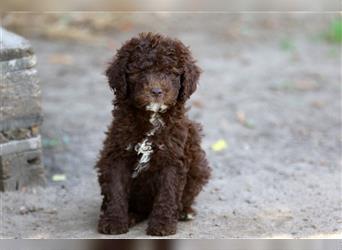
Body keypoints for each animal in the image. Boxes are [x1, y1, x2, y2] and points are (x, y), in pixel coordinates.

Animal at [95, 33, 210, 236]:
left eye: (171, 72)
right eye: (140, 71)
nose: (156, 91)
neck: (151, 117)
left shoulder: (173, 157)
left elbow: (168, 191)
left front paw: (162, 225)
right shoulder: (117, 153)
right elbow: (116, 189)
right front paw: (114, 221)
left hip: (198, 164)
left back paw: (184, 212)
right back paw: (131, 215)